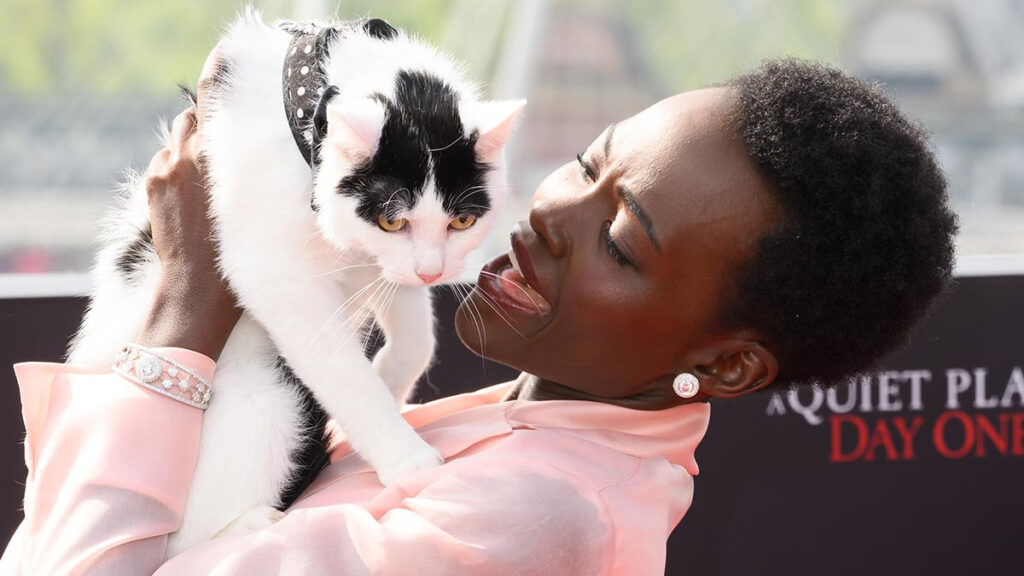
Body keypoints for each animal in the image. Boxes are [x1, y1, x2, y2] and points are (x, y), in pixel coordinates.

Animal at [71, 10, 524, 557]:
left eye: (462, 221)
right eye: (392, 220)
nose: (434, 272)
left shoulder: (379, 261)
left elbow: (415, 332)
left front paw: (391, 381)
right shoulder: (277, 274)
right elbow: (345, 374)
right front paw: (405, 459)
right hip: (266, 399)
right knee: (174, 543)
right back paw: (250, 524)